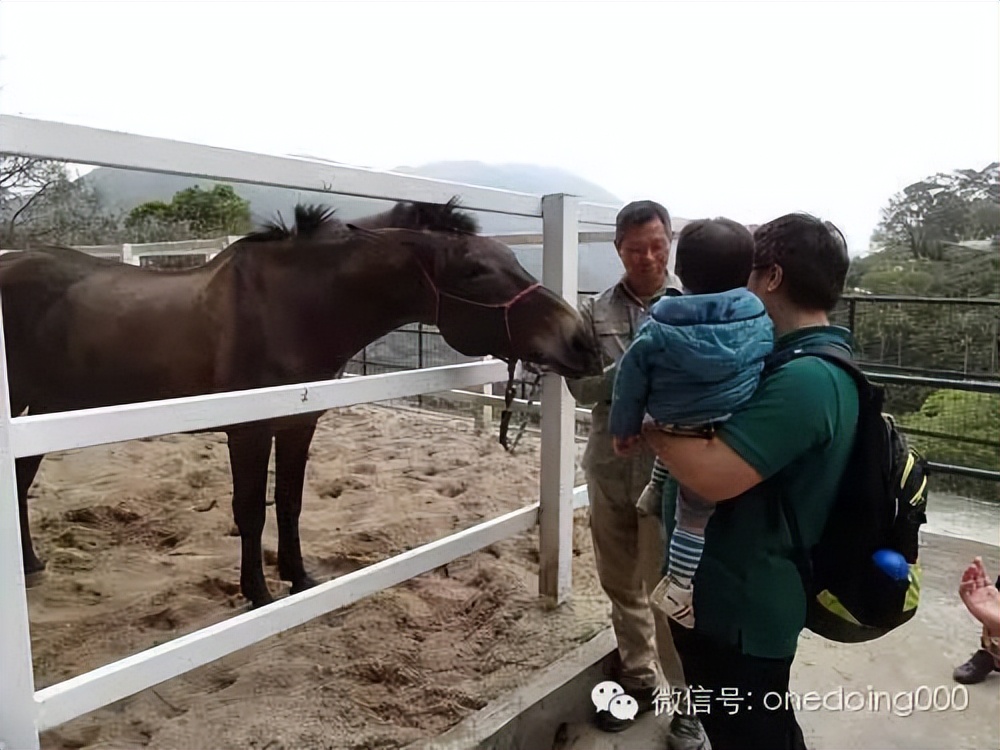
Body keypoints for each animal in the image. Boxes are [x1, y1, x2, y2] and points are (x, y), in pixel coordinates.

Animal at [1, 200, 600, 612]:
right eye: (474, 270)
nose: (581, 341)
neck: (288, 309)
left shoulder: (299, 421)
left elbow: (288, 502)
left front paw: (300, 578)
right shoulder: (246, 430)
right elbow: (249, 510)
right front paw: (258, 592)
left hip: (44, 411)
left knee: (22, 483)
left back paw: (30, 564)